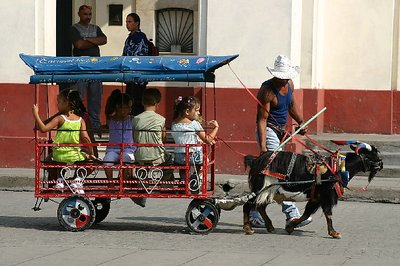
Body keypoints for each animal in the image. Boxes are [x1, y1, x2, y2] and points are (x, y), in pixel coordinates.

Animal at [242, 143, 382, 239]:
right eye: (374, 155)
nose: (381, 164)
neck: (338, 168)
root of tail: (256, 160)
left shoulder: (316, 198)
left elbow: (306, 213)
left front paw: (290, 227)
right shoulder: (326, 195)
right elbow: (328, 213)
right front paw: (334, 232)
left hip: (270, 191)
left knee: (260, 206)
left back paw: (270, 227)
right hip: (262, 187)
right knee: (248, 204)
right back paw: (248, 228)